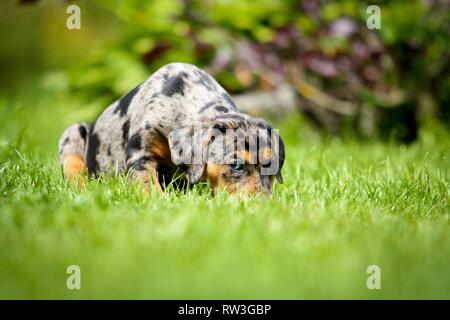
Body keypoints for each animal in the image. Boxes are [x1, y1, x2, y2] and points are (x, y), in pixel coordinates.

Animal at [59, 61, 284, 194]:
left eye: (271, 165)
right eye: (236, 165)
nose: (262, 208)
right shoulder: (140, 153)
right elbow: (147, 184)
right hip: (72, 134)